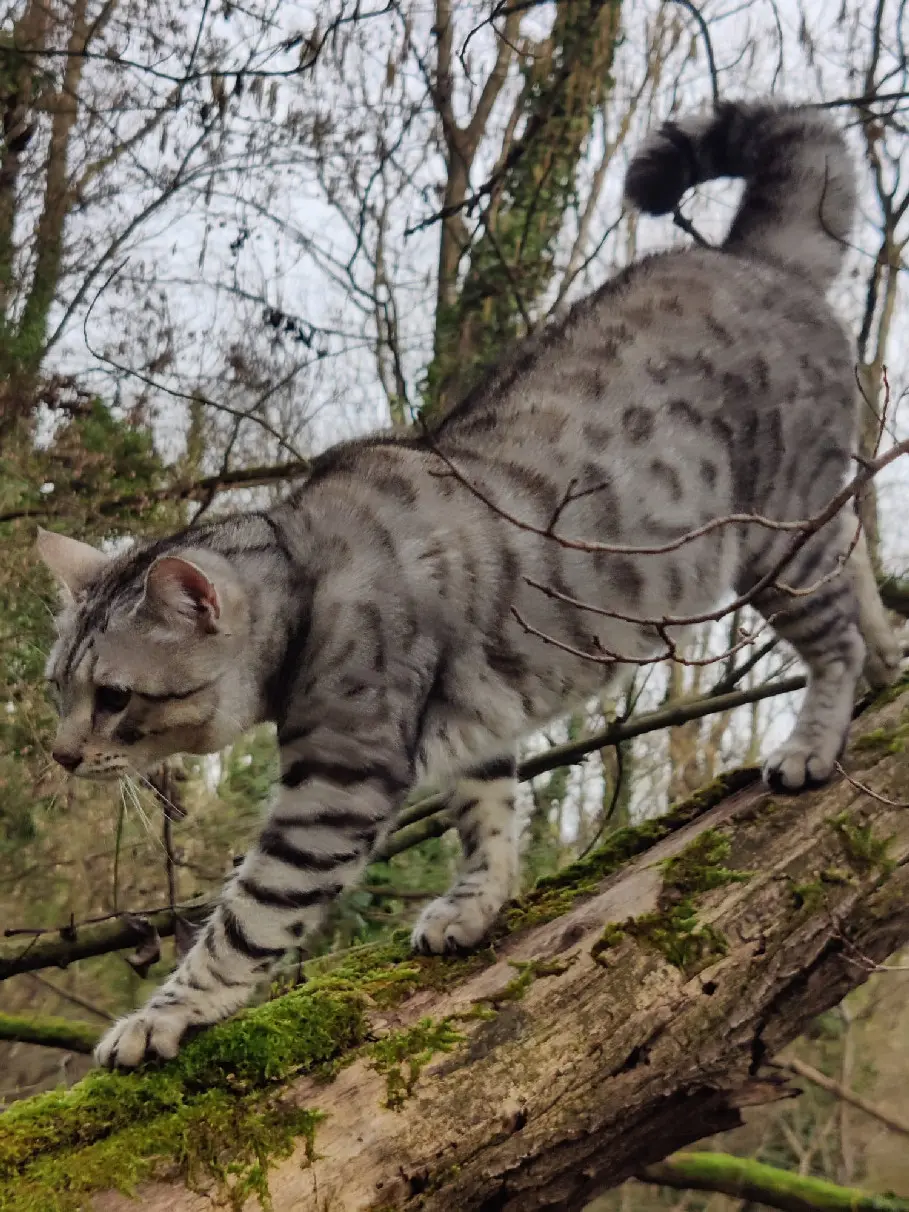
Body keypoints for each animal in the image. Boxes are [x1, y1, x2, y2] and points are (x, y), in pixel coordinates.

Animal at [39, 104, 901, 1071]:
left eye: (114, 697)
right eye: (58, 691)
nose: (62, 756)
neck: (306, 566)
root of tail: (751, 257)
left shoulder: (340, 780)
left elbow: (250, 917)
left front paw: (164, 1014)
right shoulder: (475, 722)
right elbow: (487, 818)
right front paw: (475, 905)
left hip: (775, 536)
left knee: (832, 636)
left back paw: (814, 739)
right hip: (813, 519)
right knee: (858, 568)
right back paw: (890, 665)